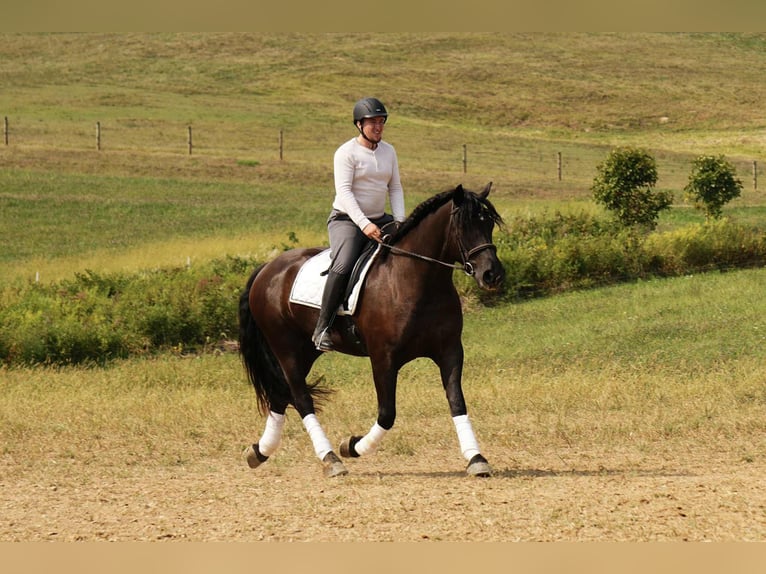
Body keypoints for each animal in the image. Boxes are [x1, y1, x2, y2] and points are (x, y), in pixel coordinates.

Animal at [238, 182, 505, 478]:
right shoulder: (383, 358)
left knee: (280, 395)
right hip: (286, 350)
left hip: (306, 350)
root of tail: (267, 268)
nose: (492, 275)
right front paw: (351, 446)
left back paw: (259, 452)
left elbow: (457, 401)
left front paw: (476, 458)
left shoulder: (450, 351)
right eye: (464, 225)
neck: (417, 280)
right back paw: (331, 458)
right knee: (300, 398)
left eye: (488, 223)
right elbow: (387, 414)